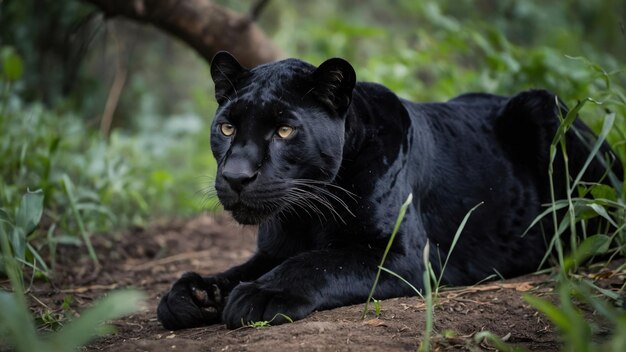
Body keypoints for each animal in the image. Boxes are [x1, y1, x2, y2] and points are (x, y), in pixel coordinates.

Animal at [155, 52, 620, 330]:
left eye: (284, 130)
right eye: (226, 127)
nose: (235, 176)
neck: (307, 215)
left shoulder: (402, 254)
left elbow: (317, 262)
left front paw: (260, 295)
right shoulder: (270, 252)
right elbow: (236, 270)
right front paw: (194, 294)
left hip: (546, 110)